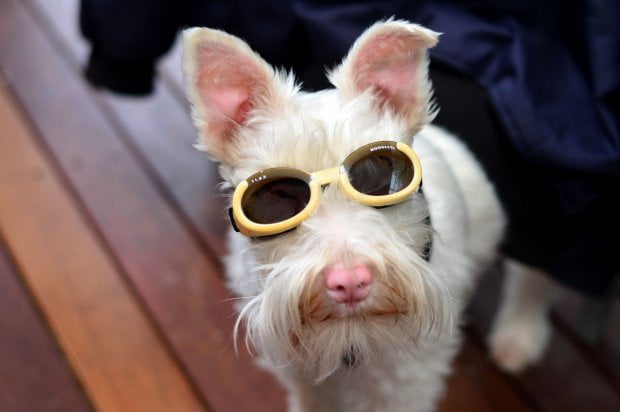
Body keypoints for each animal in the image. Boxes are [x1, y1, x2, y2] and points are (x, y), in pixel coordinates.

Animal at [182, 19, 548, 412]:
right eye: (278, 195)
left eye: (378, 175)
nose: (350, 282)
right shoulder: (301, 372)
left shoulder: (408, 378)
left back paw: (518, 337)